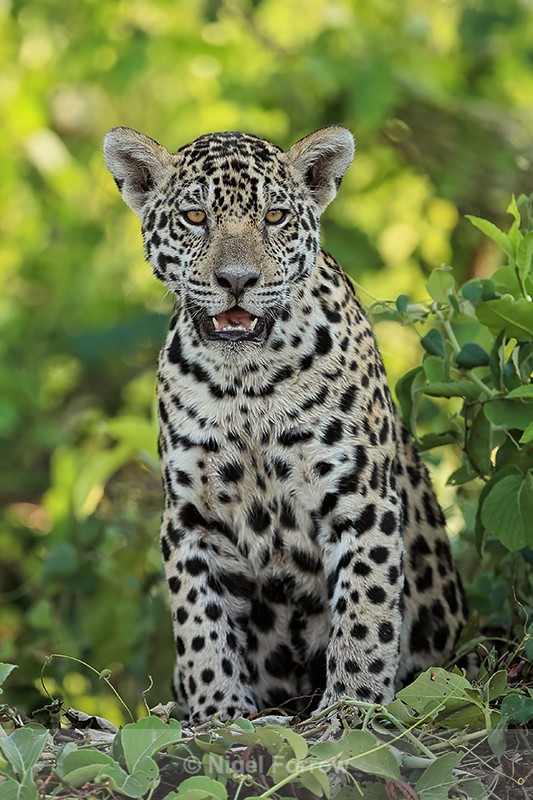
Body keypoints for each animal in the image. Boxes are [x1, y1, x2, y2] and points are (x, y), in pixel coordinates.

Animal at [104, 125, 467, 722]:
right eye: (195, 216)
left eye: (274, 216)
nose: (236, 280)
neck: (246, 381)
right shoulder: (190, 516)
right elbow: (200, 622)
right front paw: (219, 713)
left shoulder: (361, 498)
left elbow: (365, 612)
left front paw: (351, 709)